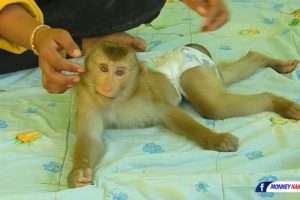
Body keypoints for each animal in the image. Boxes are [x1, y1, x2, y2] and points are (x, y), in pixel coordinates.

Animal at [68, 40, 300, 188]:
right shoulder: (87, 99)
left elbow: (169, 114)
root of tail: (189, 48)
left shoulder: (146, 96)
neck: (119, 99)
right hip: (206, 70)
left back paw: (276, 101)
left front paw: (215, 140)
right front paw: (79, 172)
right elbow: (90, 137)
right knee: (223, 80)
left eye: (119, 72)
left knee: (215, 105)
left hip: (194, 70)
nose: (107, 87)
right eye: (103, 69)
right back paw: (262, 59)